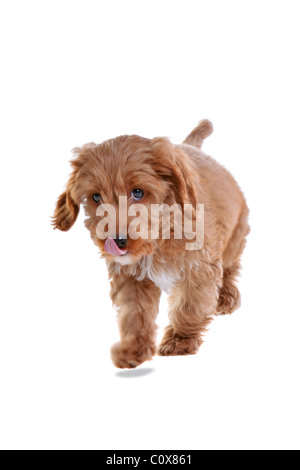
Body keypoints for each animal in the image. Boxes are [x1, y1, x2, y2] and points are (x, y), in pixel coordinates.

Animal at [52, 119, 250, 370]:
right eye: (96, 197)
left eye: (138, 192)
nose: (116, 240)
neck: (159, 237)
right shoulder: (130, 278)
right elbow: (135, 314)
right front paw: (134, 349)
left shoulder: (198, 269)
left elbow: (189, 306)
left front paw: (180, 340)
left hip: (234, 237)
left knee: (230, 267)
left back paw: (225, 297)